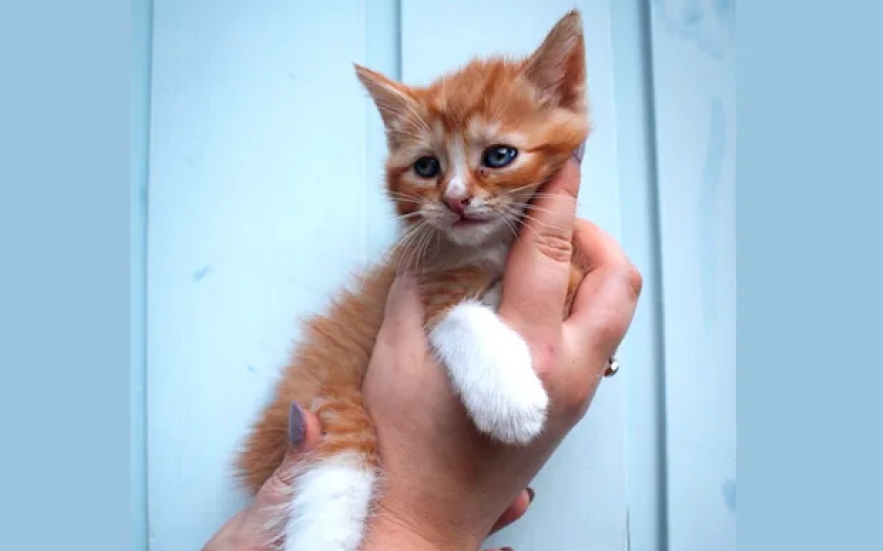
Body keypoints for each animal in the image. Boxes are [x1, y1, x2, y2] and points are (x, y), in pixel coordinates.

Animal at [238, 9, 592, 551]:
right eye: (426, 166)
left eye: (499, 156)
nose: (455, 199)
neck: (484, 246)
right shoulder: (421, 284)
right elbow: (457, 313)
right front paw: (510, 400)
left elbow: (569, 279)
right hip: (326, 396)